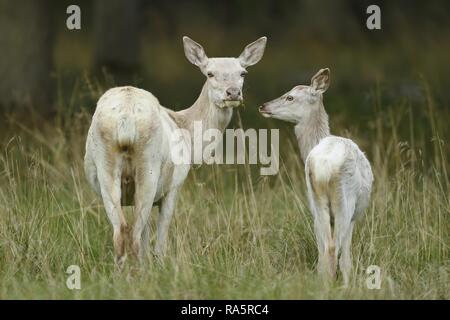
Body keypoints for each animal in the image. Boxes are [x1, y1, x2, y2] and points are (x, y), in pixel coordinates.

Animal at [84, 36, 268, 264]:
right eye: (210, 73)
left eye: (243, 73)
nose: (233, 92)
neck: (187, 133)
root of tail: (126, 117)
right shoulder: (174, 186)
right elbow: (157, 241)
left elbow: (145, 237)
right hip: (149, 168)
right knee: (134, 233)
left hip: (106, 167)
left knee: (121, 230)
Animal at [258, 68, 374, 284]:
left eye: (290, 97)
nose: (263, 106)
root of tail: (324, 167)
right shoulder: (354, 216)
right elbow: (346, 260)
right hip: (344, 201)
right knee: (332, 248)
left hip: (318, 201)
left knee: (325, 251)